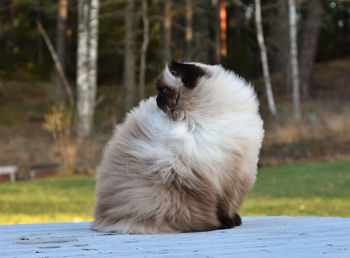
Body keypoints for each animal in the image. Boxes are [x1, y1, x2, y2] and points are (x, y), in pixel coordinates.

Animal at [91, 60, 264, 234]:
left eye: (164, 90)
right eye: (159, 91)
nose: (157, 98)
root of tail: (105, 221)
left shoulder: (235, 174)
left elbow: (228, 205)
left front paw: (233, 221)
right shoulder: (223, 177)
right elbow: (224, 207)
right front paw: (228, 223)